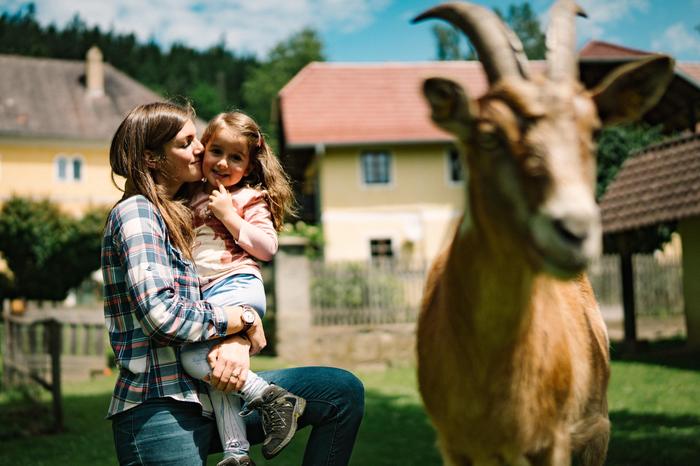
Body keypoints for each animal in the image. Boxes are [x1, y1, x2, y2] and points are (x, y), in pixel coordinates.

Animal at [412, 1, 676, 464]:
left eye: (594, 130)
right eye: (489, 135)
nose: (575, 230)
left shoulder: (553, 441)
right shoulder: (453, 445)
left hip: (596, 431)